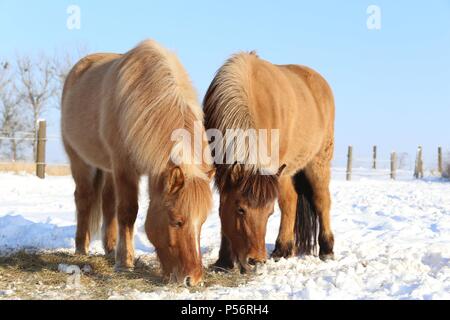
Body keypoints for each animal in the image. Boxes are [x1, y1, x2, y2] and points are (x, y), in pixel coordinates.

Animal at [61, 40, 214, 284]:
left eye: (201, 223)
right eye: (176, 221)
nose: (193, 280)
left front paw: (120, 256)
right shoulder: (124, 167)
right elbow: (127, 211)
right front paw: (125, 263)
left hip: (108, 168)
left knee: (107, 202)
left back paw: (110, 248)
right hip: (80, 161)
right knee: (83, 198)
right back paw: (81, 248)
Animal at [204, 52, 334, 272]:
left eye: (269, 213)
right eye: (240, 209)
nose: (256, 261)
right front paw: (224, 261)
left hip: (318, 162)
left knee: (321, 201)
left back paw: (327, 249)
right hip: (287, 172)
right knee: (290, 201)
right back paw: (283, 250)